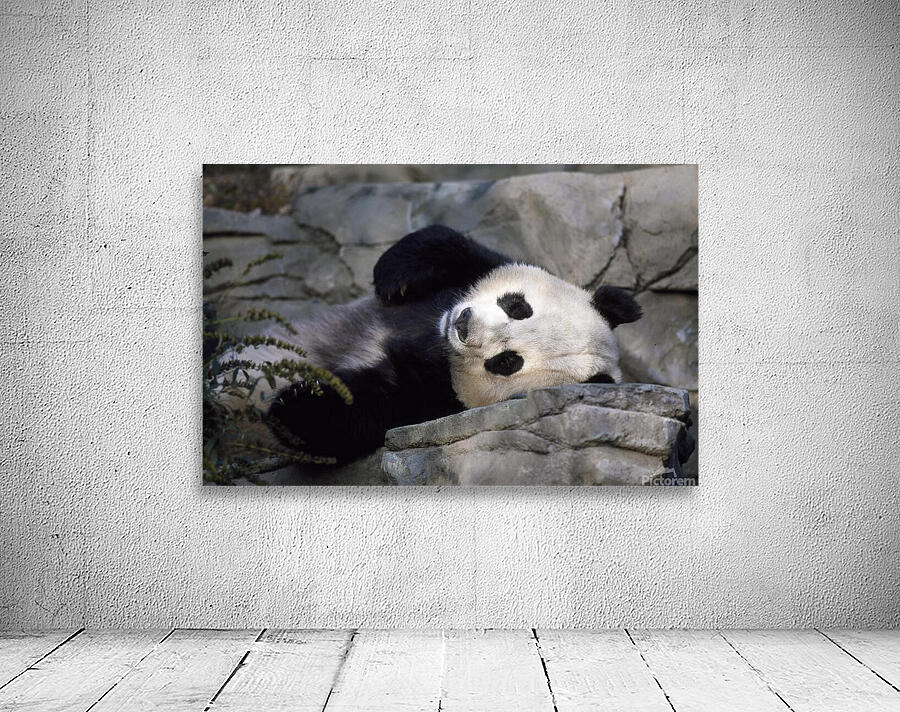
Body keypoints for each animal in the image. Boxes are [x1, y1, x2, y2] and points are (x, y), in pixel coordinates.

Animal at [267, 225, 642, 462]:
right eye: (518, 307)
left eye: (507, 362)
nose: (463, 324)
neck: (436, 338)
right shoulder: (481, 266)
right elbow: (452, 246)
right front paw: (394, 277)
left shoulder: (437, 403)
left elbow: (372, 409)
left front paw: (296, 406)